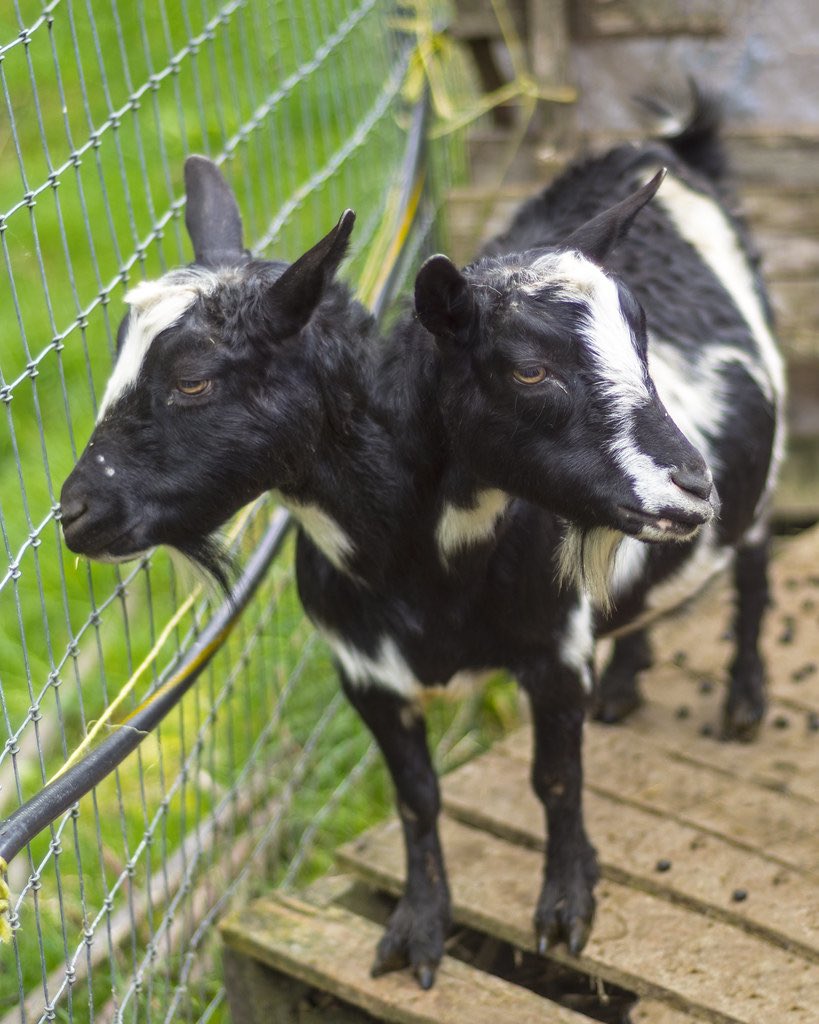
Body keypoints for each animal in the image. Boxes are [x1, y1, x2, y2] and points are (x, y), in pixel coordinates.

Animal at [62, 97, 782, 991]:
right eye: (529, 369)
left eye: (192, 378)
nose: (75, 511)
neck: (423, 575)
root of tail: (667, 145)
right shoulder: (365, 674)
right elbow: (417, 797)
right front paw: (415, 929)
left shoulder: (552, 647)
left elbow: (554, 780)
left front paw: (565, 910)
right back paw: (625, 685)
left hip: (760, 479)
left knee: (753, 563)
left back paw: (743, 701)